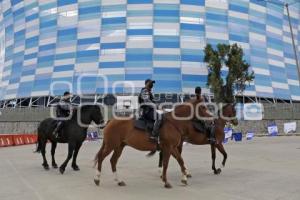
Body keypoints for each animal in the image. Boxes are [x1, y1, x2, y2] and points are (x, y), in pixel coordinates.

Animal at [94, 101, 237, 188]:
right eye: (202, 107)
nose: (211, 118)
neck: (174, 123)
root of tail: (111, 121)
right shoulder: (169, 147)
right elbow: (167, 163)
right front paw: (167, 181)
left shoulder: (172, 147)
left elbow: (180, 160)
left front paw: (184, 178)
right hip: (111, 146)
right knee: (101, 158)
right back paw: (97, 179)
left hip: (119, 147)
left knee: (113, 161)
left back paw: (118, 181)